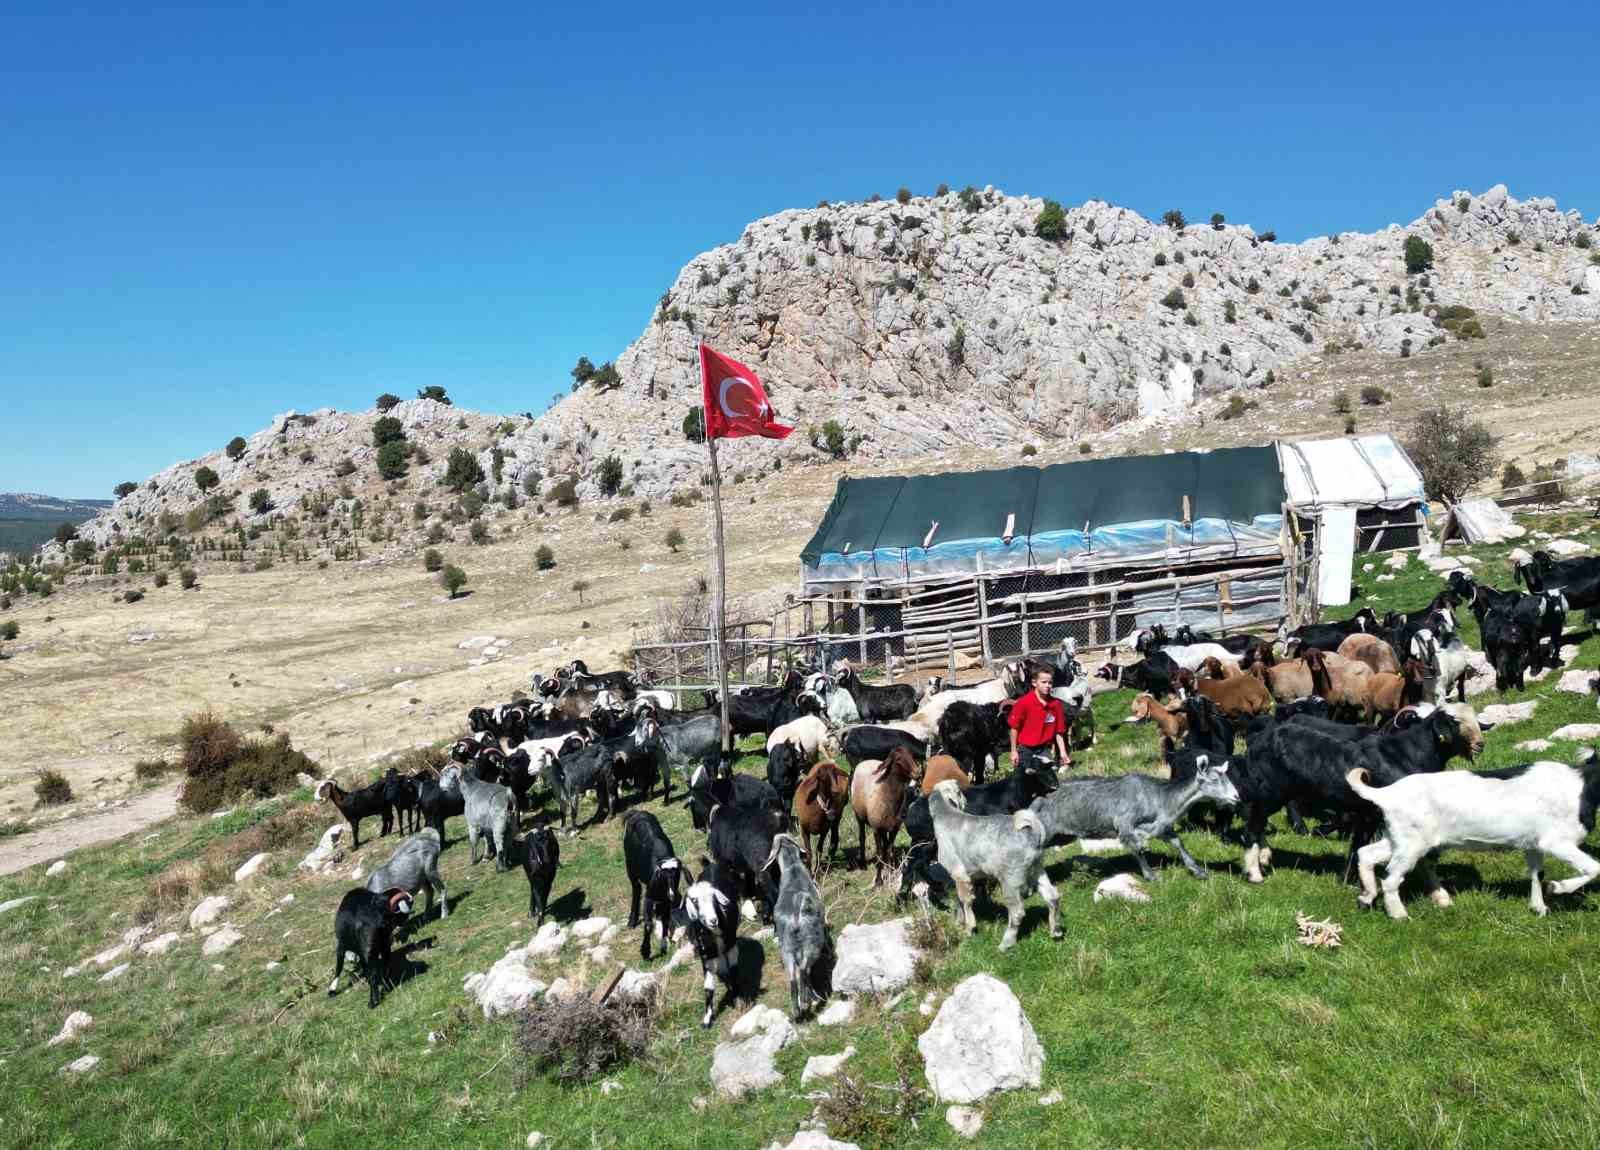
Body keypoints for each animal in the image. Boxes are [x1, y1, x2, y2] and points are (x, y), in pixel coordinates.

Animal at [764, 838, 832, 1017]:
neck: (793, 866)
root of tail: (795, 919)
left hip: (786, 948)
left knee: (793, 977)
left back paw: (797, 1009)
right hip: (811, 945)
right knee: (803, 970)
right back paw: (807, 1001)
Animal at [844, 742, 921, 889]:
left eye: (911, 755)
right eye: (898, 759)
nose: (918, 773)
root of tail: (864, 761)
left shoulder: (895, 828)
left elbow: (889, 851)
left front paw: (890, 873)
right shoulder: (876, 829)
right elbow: (879, 854)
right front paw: (879, 881)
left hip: (886, 825)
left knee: (885, 844)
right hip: (859, 815)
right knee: (862, 837)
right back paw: (862, 863)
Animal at [928, 783, 1062, 953]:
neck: (947, 815)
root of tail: (1033, 832)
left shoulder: (960, 874)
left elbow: (966, 901)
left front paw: (970, 928)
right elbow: (959, 900)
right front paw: (959, 922)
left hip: (1011, 878)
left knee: (1017, 913)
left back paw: (1006, 943)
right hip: (1037, 868)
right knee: (1052, 897)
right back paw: (1055, 931)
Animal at [1030, 754, 1241, 882]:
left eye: (1228, 778)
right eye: (1214, 779)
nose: (1236, 797)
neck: (1161, 798)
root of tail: (1036, 800)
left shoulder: (1160, 827)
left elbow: (1178, 843)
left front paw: (1198, 870)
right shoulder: (1126, 825)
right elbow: (1138, 848)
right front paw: (1151, 876)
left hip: (1061, 836)